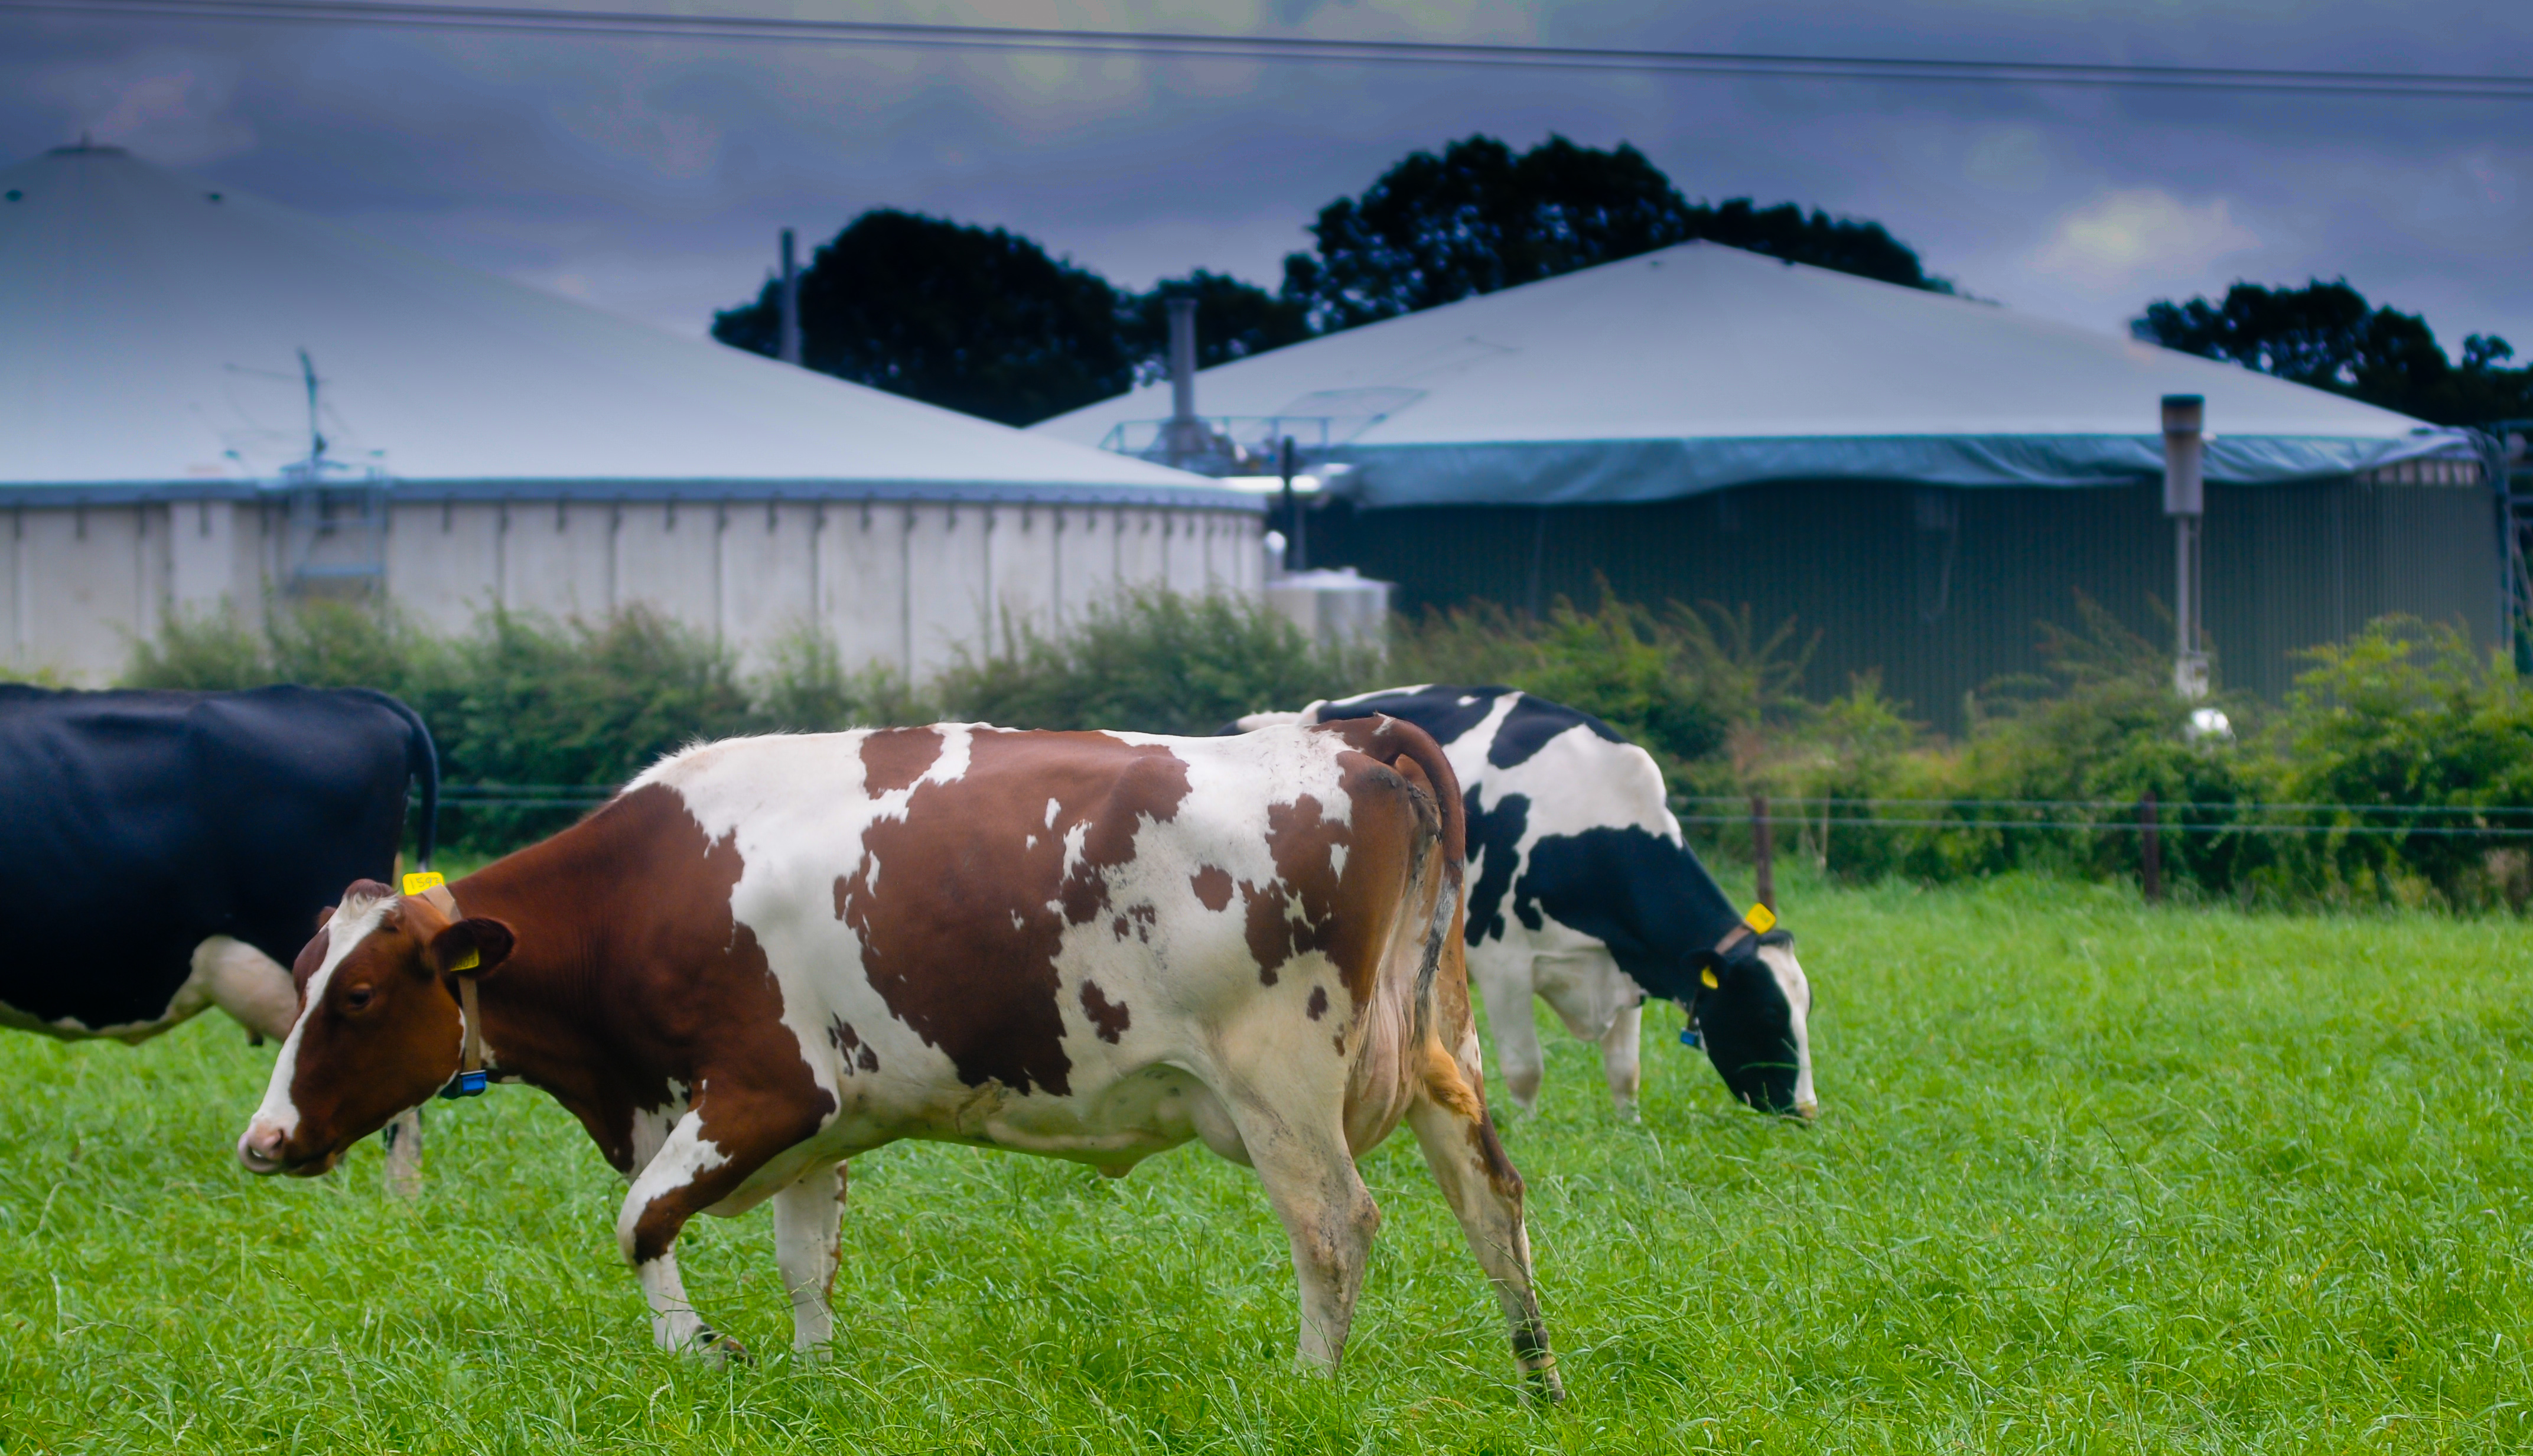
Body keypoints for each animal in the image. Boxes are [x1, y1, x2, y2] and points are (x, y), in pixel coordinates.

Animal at [238, 724, 1550, 1398]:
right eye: (300, 978)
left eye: (357, 997)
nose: (262, 1141)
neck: (648, 887)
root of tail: (1345, 737)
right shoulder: (824, 1121)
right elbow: (804, 1260)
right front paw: (814, 1378)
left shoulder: (763, 1090)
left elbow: (636, 1220)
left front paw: (695, 1347)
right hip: (1436, 1055)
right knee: (1491, 1195)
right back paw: (1534, 1373)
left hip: (1280, 1084)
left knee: (1334, 1227)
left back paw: (1307, 1388)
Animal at [1236, 689, 1814, 1124]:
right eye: (1767, 1011)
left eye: (1806, 1007)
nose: (1806, 1110)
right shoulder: (1505, 964)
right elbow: (1525, 1067)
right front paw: (1528, 1128)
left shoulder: (1625, 959)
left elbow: (1625, 1069)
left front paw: (1630, 1126)